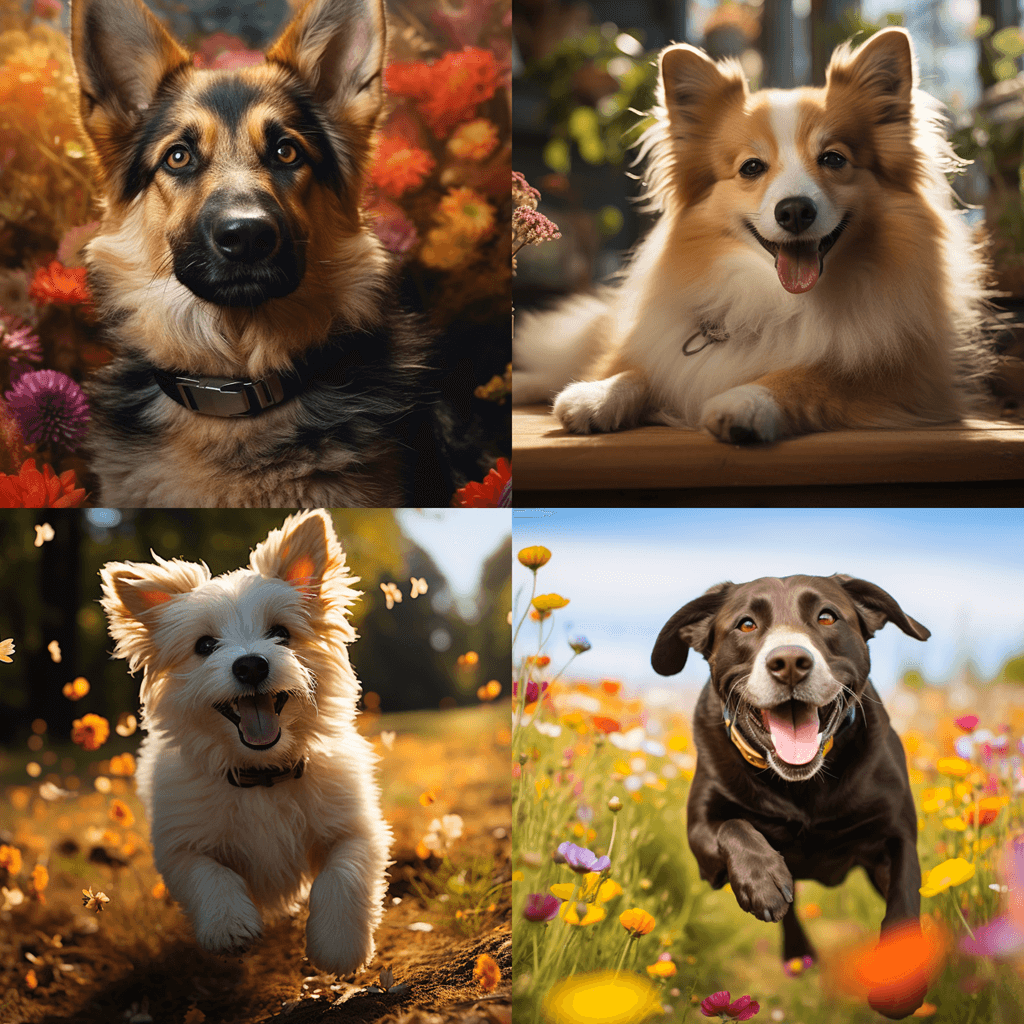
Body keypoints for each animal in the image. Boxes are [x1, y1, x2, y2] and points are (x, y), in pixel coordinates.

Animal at [100, 512, 391, 974]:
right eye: (204, 645)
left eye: (281, 633)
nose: (251, 665)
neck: (264, 775)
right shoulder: (180, 845)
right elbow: (210, 875)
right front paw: (229, 925)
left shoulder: (358, 828)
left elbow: (343, 874)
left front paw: (338, 946)